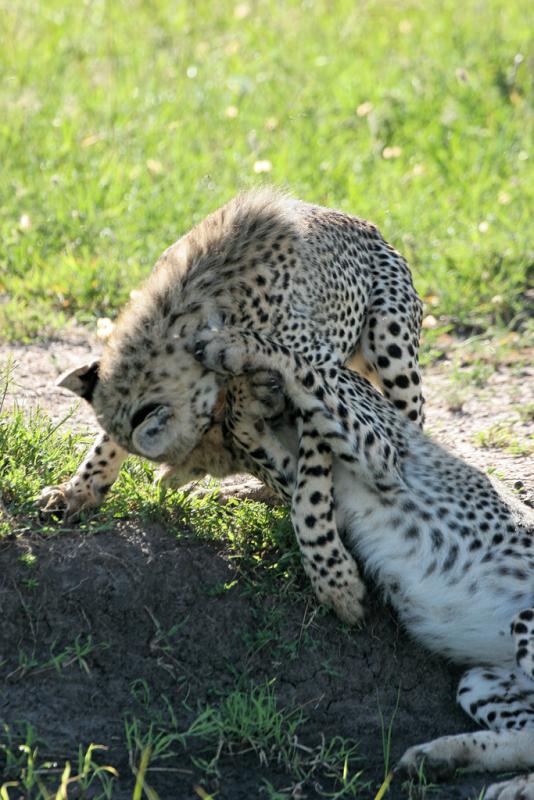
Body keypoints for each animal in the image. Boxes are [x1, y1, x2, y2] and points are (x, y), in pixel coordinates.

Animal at [38, 189, 428, 624]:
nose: (183, 465)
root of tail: (366, 224)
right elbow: (110, 435)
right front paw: (80, 489)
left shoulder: (322, 377)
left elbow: (309, 495)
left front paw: (335, 580)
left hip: (391, 346)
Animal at [185, 324, 534, 800]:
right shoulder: (320, 482)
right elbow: (269, 448)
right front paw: (246, 405)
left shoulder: (378, 453)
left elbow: (303, 368)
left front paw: (238, 348)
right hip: (482, 679)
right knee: (531, 736)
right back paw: (445, 758)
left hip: (526, 621)